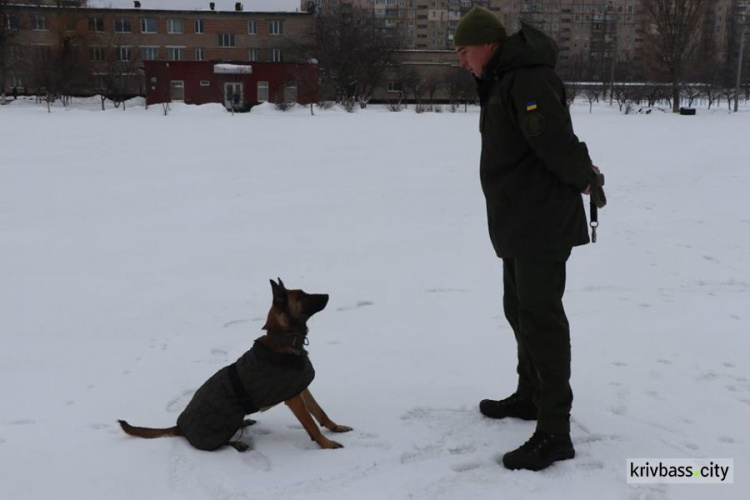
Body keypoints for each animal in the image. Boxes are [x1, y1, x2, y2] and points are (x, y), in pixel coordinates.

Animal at [117, 280, 352, 452]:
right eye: (302, 295)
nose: (327, 295)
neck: (283, 339)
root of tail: (181, 427)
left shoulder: (301, 388)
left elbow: (320, 412)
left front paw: (335, 428)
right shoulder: (294, 399)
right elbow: (311, 423)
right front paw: (327, 444)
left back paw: (244, 425)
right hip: (226, 421)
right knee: (221, 442)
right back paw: (238, 442)